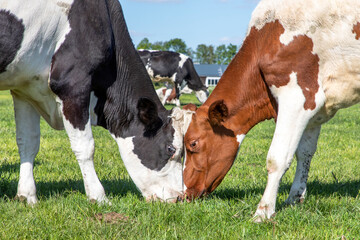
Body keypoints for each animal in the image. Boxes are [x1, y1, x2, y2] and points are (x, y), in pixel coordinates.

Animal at [1, 0, 188, 204]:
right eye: (171, 149)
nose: (179, 197)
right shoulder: (74, 85)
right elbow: (85, 147)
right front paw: (98, 196)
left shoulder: (25, 89)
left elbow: (28, 142)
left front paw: (27, 196)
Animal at [184, 0, 360, 221]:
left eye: (193, 143)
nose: (184, 194)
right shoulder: (314, 108)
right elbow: (304, 153)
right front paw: (295, 198)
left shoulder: (297, 97)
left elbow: (277, 158)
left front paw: (263, 211)